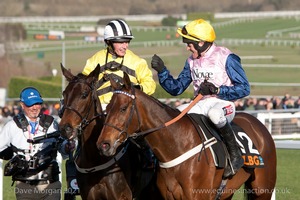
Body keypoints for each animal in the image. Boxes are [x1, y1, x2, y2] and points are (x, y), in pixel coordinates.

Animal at [96, 73, 276, 200]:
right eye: (107, 108)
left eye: (123, 108)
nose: (103, 144)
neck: (176, 146)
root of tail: (257, 123)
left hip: (263, 190)